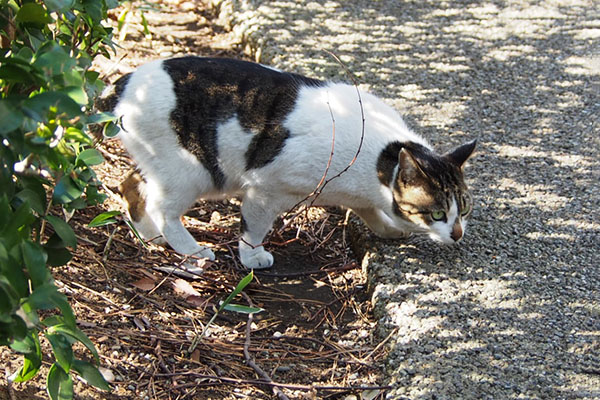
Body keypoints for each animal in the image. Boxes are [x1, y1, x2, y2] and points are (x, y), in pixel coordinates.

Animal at [96, 57, 476, 268]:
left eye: (465, 208)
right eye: (437, 213)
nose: (457, 233)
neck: (379, 161)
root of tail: (123, 83)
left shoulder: (360, 197)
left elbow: (370, 214)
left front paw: (389, 229)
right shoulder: (266, 190)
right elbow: (253, 228)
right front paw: (252, 258)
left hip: (158, 164)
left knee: (131, 184)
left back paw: (150, 236)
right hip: (190, 172)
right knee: (162, 207)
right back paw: (191, 251)